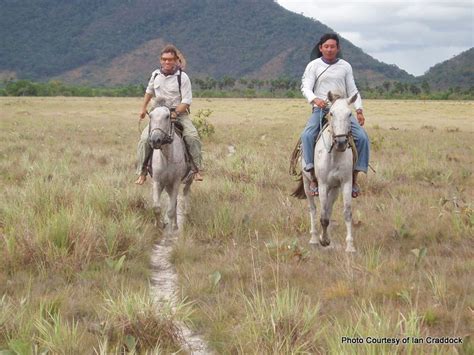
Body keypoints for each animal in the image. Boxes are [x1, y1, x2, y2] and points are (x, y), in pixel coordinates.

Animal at [294, 92, 358, 253]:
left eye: (349, 114)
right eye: (331, 113)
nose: (341, 143)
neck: (334, 155)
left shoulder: (345, 183)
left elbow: (346, 213)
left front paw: (350, 246)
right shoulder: (322, 184)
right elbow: (322, 217)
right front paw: (322, 240)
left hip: (334, 188)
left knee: (328, 209)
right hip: (308, 184)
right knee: (314, 209)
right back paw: (314, 238)